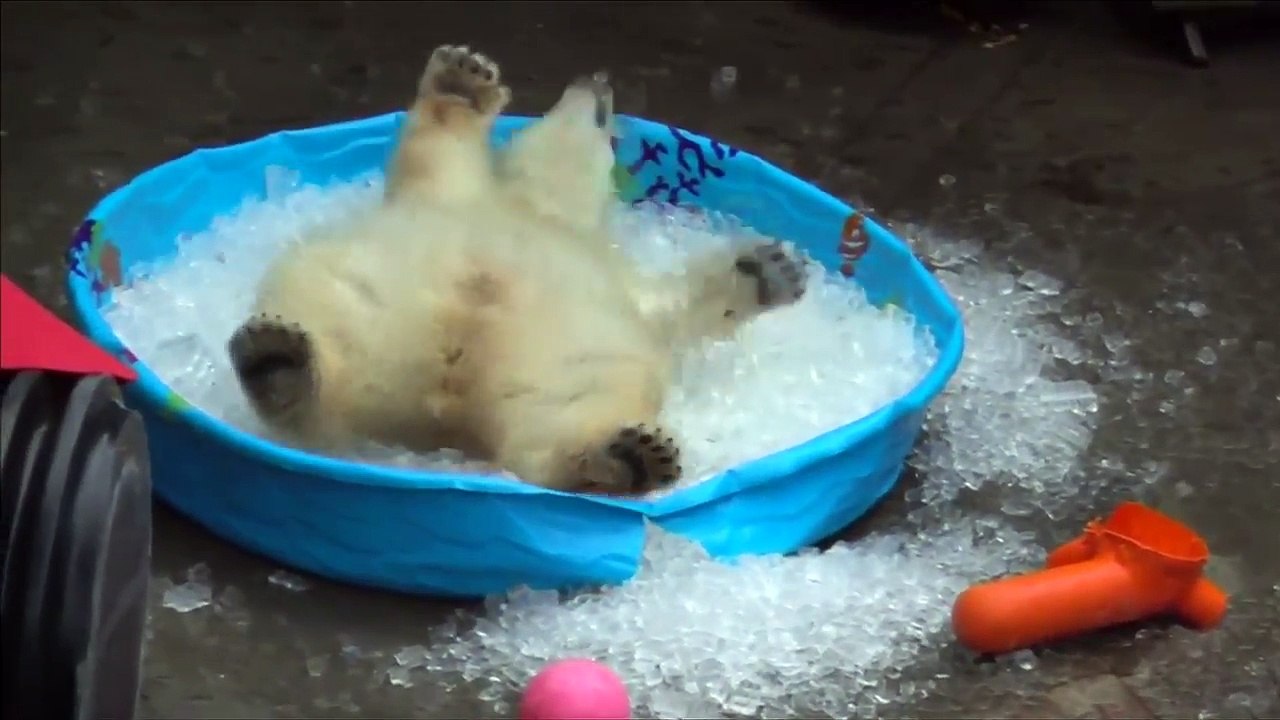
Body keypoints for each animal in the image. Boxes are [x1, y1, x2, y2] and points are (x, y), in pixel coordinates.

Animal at [226, 44, 808, 497]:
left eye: (606, 118)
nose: (597, 77)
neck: (536, 211)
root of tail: (445, 408)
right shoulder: (449, 195)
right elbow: (434, 145)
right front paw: (463, 77)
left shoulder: (620, 283)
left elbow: (676, 308)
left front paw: (770, 269)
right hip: (364, 304)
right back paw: (278, 362)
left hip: (557, 360)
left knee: (564, 415)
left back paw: (627, 456)